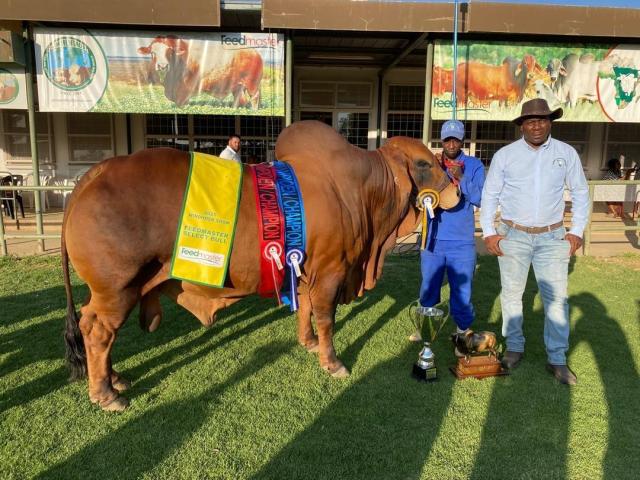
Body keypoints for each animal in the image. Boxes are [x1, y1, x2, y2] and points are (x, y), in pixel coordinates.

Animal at [62, 120, 460, 411]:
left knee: (94, 328)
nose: (457, 192)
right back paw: (107, 394)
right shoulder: (331, 271)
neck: (360, 191)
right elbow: (326, 317)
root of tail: (94, 174)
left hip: (112, 292)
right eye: (424, 163)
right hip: (118, 288)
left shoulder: (306, 271)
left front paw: (307, 343)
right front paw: (332, 362)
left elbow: (306, 310)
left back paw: (114, 379)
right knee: (97, 332)